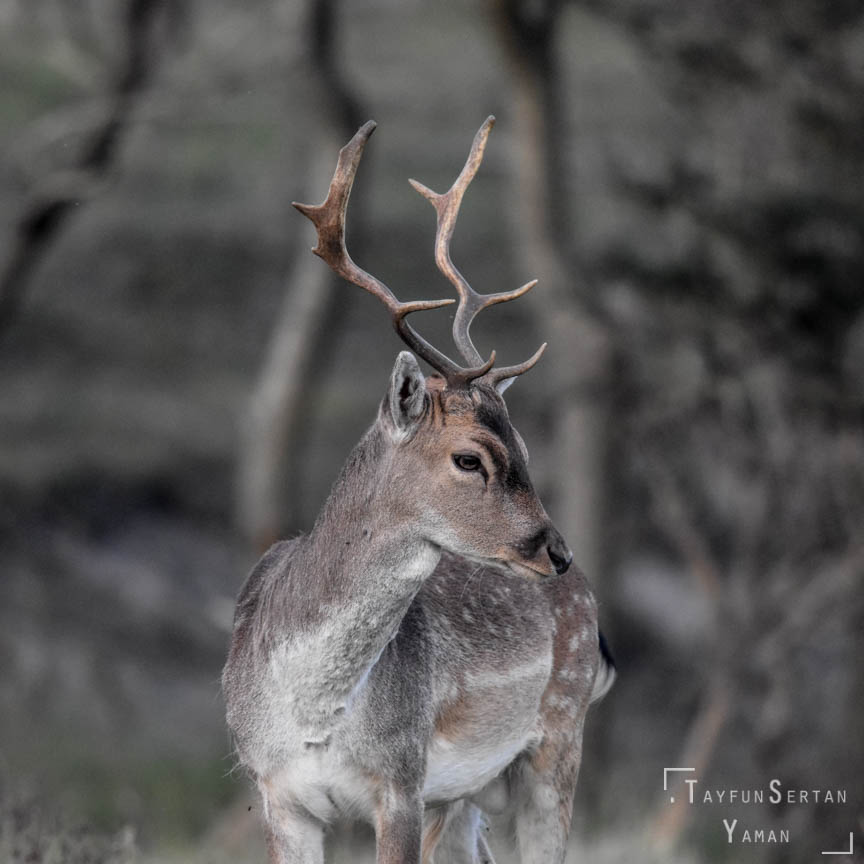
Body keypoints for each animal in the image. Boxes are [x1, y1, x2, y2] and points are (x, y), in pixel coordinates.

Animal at [222, 116, 615, 864]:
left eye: (524, 448)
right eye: (470, 458)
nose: (557, 551)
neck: (311, 719)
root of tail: (598, 628)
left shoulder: (402, 782)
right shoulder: (275, 792)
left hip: (555, 744)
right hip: (467, 799)